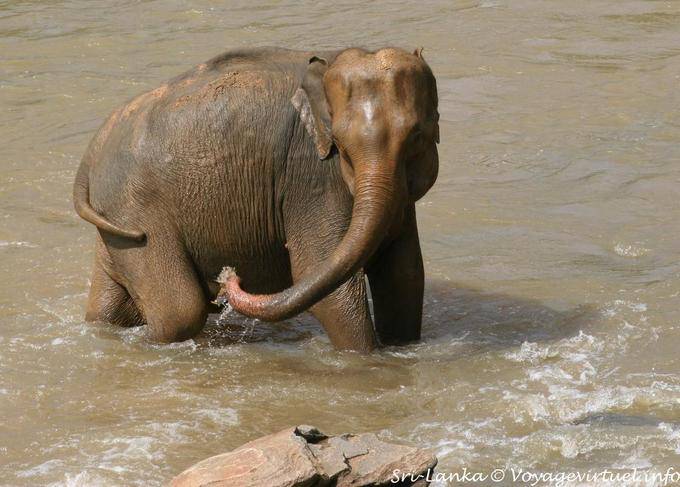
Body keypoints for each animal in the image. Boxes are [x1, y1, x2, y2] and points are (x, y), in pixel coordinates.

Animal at [73, 46, 439, 352]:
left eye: (417, 137)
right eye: (340, 145)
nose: (229, 277)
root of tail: (91, 152)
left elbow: (404, 276)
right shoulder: (312, 178)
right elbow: (326, 285)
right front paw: (368, 359)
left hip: (117, 216)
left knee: (112, 302)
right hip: (137, 209)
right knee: (180, 311)